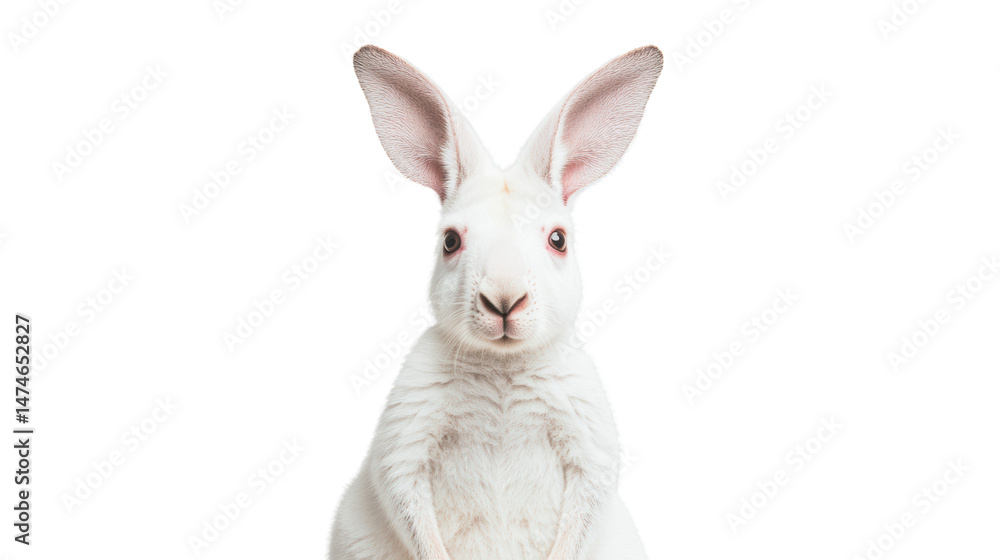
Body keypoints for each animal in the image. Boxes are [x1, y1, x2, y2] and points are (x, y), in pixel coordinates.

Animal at [330, 44, 663, 560]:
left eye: (558, 239)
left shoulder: (589, 444)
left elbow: (585, 506)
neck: (503, 368)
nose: (504, 301)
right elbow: (404, 497)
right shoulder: (405, 439)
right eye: (450, 241)